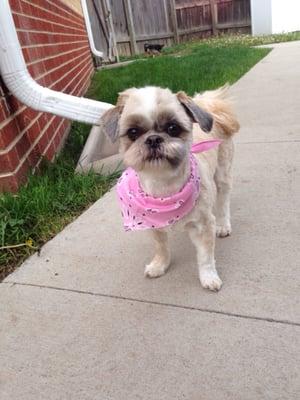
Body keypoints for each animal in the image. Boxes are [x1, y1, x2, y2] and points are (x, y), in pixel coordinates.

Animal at [100, 86, 239, 290]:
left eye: (173, 128)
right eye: (133, 132)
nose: (153, 139)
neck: (164, 188)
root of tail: (209, 104)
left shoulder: (203, 225)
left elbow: (205, 257)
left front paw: (208, 276)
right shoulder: (153, 225)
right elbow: (161, 247)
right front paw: (160, 265)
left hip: (222, 173)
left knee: (223, 200)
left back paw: (223, 225)